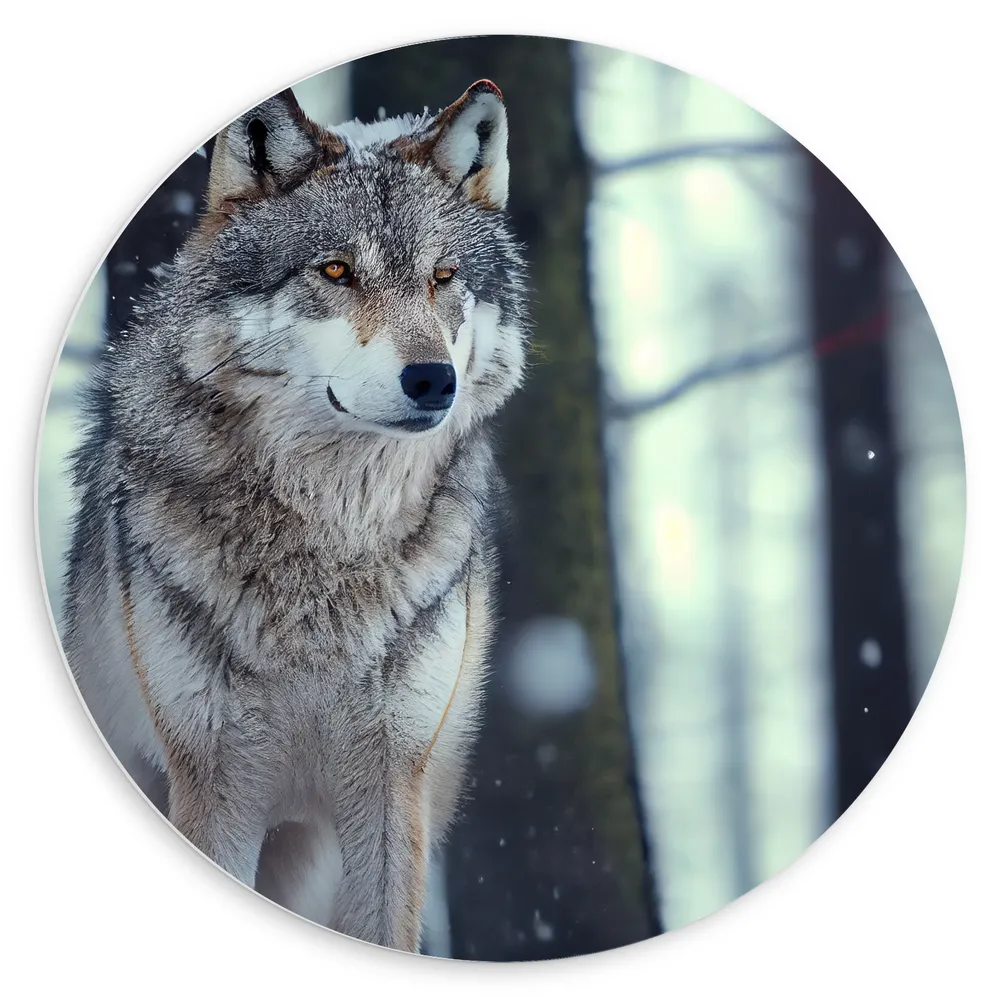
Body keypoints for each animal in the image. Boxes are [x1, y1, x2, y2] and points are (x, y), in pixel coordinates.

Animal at [59, 79, 528, 953]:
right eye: (336, 270)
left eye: (444, 275)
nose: (433, 381)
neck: (330, 547)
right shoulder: (215, 782)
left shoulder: (392, 781)